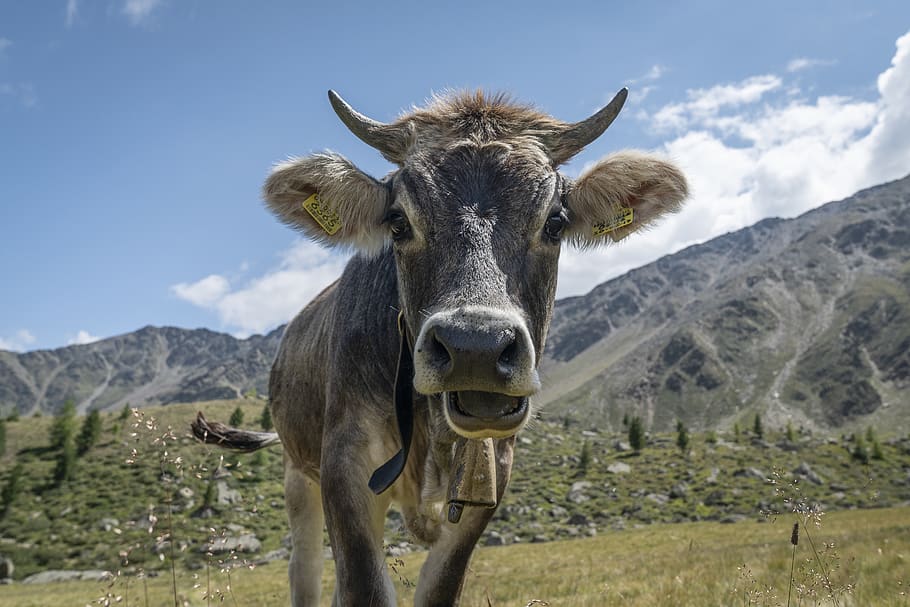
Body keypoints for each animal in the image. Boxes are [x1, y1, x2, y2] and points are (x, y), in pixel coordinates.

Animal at [193, 87, 688, 606]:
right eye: (397, 221)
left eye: (555, 223)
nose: (476, 347)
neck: (433, 435)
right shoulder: (344, 466)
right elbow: (365, 587)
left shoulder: (488, 480)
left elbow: (438, 587)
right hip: (297, 471)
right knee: (304, 568)